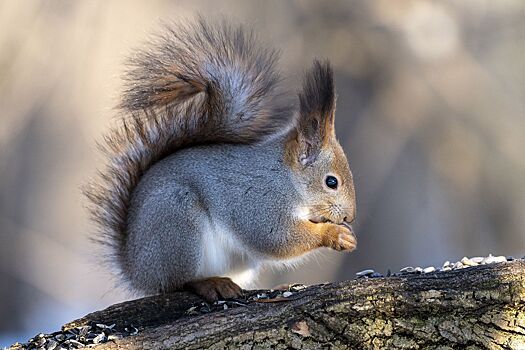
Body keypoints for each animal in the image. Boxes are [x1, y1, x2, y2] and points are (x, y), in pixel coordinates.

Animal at [85, 17, 356, 300]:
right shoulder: (259, 202)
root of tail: (135, 269)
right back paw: (210, 283)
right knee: (177, 282)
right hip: (177, 224)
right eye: (331, 182)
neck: (285, 177)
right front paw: (335, 234)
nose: (349, 217)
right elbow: (277, 239)